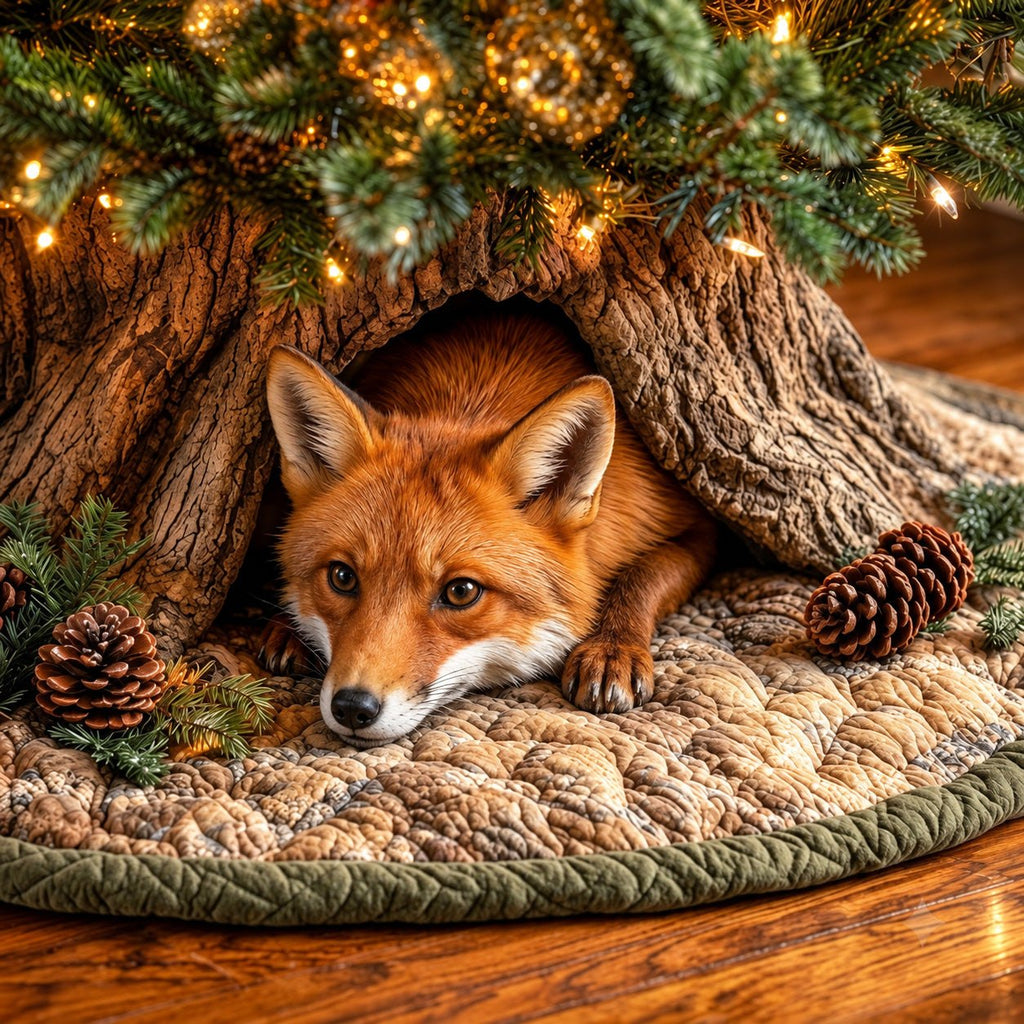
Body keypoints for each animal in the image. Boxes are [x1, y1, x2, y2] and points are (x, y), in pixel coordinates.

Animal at [263, 308, 716, 747]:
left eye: (461, 591)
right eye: (342, 577)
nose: (353, 707)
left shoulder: (700, 530)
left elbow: (642, 576)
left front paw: (611, 647)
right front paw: (288, 627)